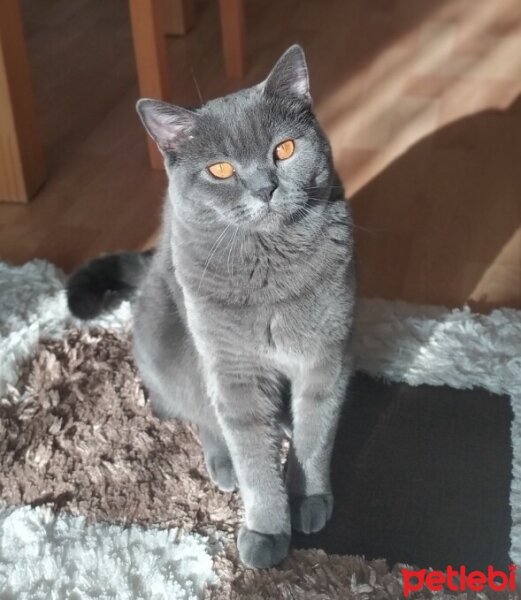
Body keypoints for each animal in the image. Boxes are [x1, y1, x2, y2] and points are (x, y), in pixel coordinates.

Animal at [67, 45, 356, 568]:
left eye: (284, 149)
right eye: (220, 170)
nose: (265, 188)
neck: (271, 270)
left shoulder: (327, 355)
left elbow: (316, 433)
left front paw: (308, 498)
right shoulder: (234, 369)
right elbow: (251, 450)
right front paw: (267, 531)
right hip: (175, 344)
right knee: (199, 414)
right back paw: (224, 466)